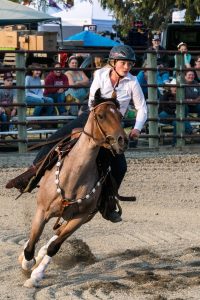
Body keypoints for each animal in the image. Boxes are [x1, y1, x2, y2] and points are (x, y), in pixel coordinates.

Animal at [19, 89, 128, 288]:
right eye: (101, 116)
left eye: (120, 116)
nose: (122, 140)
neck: (73, 177)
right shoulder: (41, 211)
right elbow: (31, 243)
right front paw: (27, 263)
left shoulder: (80, 218)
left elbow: (55, 246)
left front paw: (36, 275)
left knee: (56, 236)